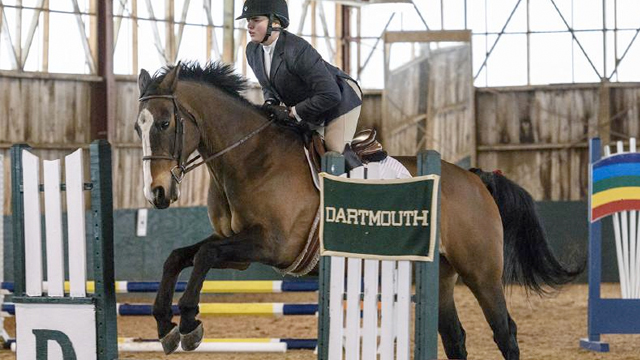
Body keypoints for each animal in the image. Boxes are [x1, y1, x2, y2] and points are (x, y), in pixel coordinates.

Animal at [135, 60, 580, 358]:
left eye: (164, 123)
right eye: (138, 126)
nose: (157, 193)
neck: (249, 156)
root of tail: (474, 179)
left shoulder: (270, 245)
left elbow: (203, 255)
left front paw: (188, 323)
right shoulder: (240, 249)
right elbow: (179, 257)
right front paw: (164, 326)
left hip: (481, 273)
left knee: (505, 332)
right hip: (441, 276)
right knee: (455, 338)